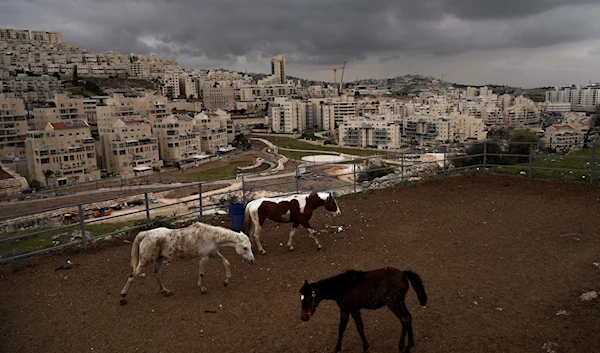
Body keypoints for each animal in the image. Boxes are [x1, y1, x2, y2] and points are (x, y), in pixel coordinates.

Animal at [120, 221, 254, 304]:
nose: (252, 261)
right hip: (144, 261)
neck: (210, 236)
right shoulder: (204, 257)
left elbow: (226, 263)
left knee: (157, 274)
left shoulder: (213, 253)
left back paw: (165, 291)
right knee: (132, 276)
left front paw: (226, 281)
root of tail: (146, 234)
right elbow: (202, 273)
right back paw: (123, 297)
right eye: (245, 248)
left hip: (159, 259)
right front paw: (202, 288)